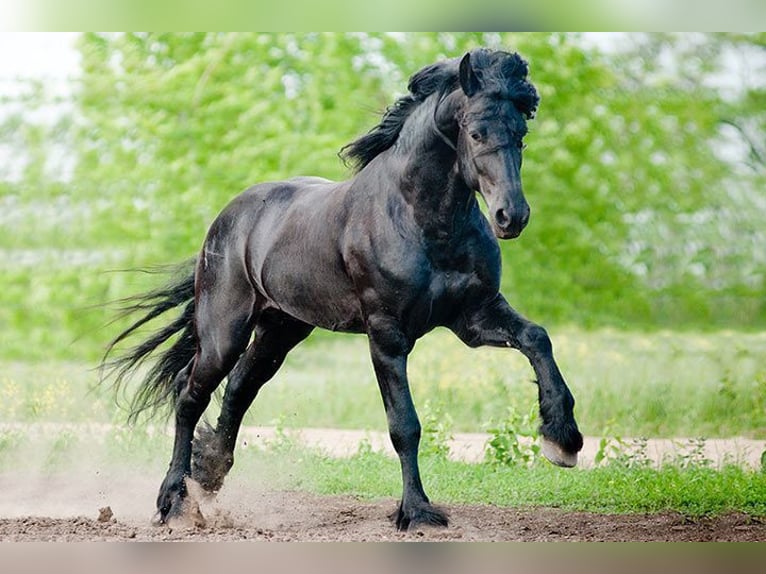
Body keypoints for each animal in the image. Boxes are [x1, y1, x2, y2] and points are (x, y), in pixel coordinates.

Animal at [102, 48, 584, 532]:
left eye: (521, 132)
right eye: (476, 130)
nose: (511, 216)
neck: (422, 219)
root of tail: (227, 218)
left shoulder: (474, 315)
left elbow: (537, 338)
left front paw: (562, 441)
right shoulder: (387, 333)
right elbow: (404, 425)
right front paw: (417, 512)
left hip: (281, 331)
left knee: (238, 388)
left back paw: (209, 474)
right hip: (225, 332)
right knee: (190, 393)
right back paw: (173, 501)